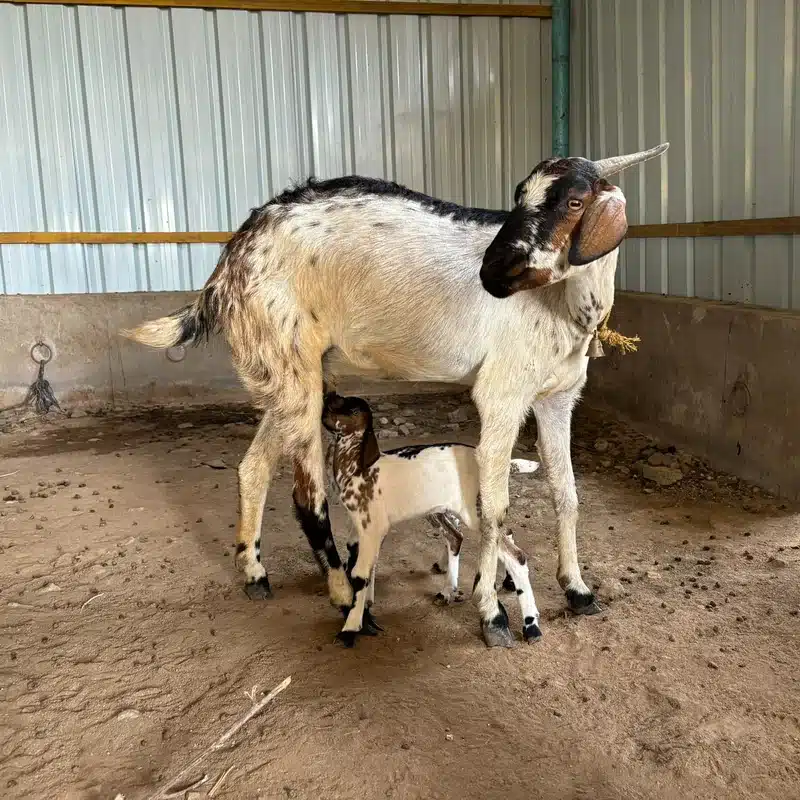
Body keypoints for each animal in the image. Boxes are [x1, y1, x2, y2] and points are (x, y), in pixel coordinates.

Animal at [322, 392, 540, 645]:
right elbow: (362, 563)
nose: (328, 396)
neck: (359, 469)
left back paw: (530, 626)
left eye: (355, 410)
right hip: (446, 510)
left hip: (477, 514)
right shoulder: (360, 529)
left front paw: (350, 628)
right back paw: (455, 590)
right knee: (469, 537)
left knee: (516, 555)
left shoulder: (373, 527)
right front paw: (366, 607)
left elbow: (360, 573)